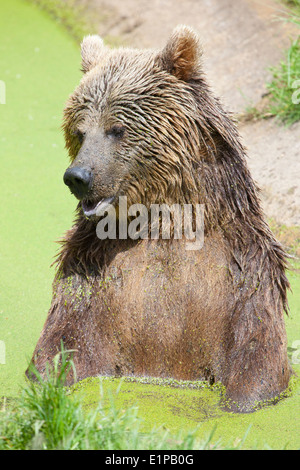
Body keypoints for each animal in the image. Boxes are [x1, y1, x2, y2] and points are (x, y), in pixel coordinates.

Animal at [27, 27, 290, 414]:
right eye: (79, 130)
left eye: (116, 128)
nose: (78, 176)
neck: (163, 222)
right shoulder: (87, 274)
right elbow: (60, 350)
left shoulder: (245, 276)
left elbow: (256, 368)